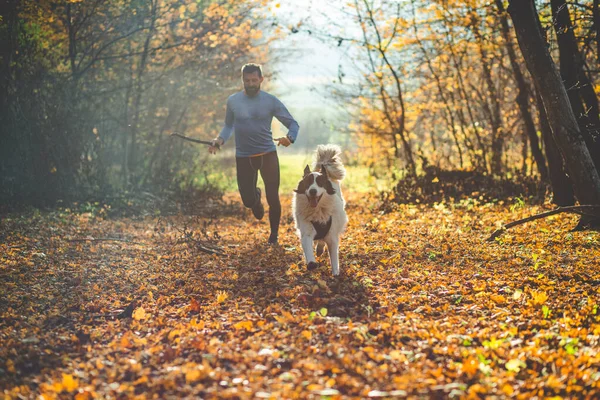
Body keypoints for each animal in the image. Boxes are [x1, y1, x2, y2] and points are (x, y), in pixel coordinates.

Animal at [292, 145, 346, 276]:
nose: (312, 191)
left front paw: (336, 273)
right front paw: (311, 263)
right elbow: (308, 247)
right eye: (308, 183)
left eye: (320, 183)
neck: (318, 211)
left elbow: (334, 258)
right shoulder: (306, 231)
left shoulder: (332, 236)